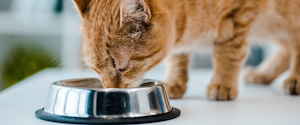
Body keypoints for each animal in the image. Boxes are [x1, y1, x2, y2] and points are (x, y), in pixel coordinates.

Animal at [72, 0, 300, 100]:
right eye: (96, 70)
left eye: (122, 68)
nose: (111, 91)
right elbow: (176, 56)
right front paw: (174, 82)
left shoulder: (239, 16)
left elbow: (228, 54)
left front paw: (222, 83)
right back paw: (262, 74)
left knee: (294, 44)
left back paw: (295, 79)